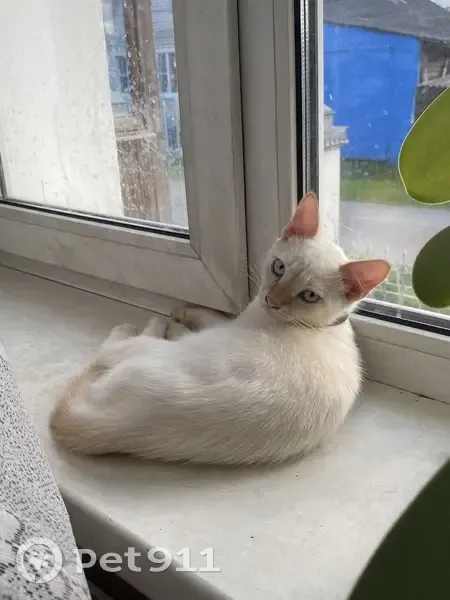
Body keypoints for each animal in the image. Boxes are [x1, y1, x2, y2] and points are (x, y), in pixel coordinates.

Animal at [50, 192, 390, 465]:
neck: (320, 327)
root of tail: (119, 426)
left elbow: (208, 319)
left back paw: (149, 324)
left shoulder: (234, 324)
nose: (271, 300)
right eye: (279, 267)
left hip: (146, 352)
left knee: (110, 351)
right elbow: (212, 315)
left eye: (309, 296)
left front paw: (179, 316)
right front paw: (184, 313)